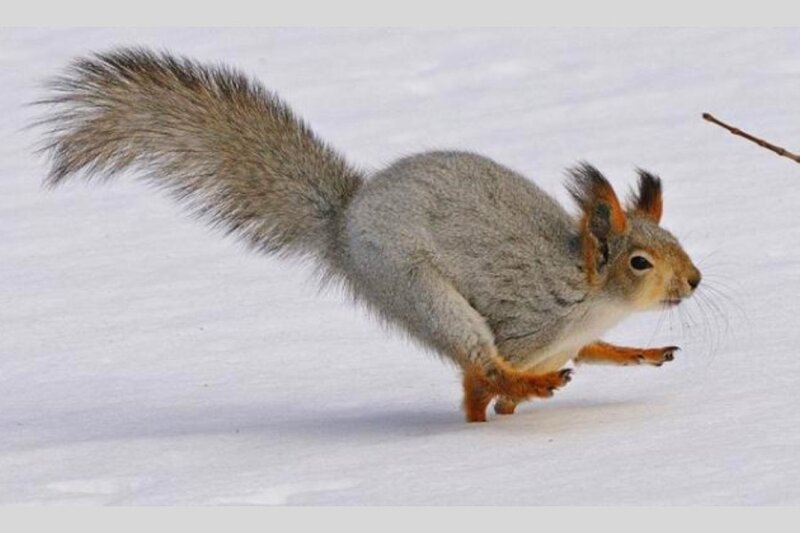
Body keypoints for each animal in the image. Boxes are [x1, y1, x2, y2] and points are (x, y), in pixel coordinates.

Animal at [38, 48, 702, 422]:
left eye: (676, 241)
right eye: (640, 262)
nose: (694, 280)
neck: (589, 298)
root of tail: (346, 218)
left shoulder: (572, 337)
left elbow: (593, 351)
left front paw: (638, 352)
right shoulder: (523, 320)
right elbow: (480, 380)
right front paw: (510, 398)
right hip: (417, 288)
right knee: (478, 362)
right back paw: (528, 386)